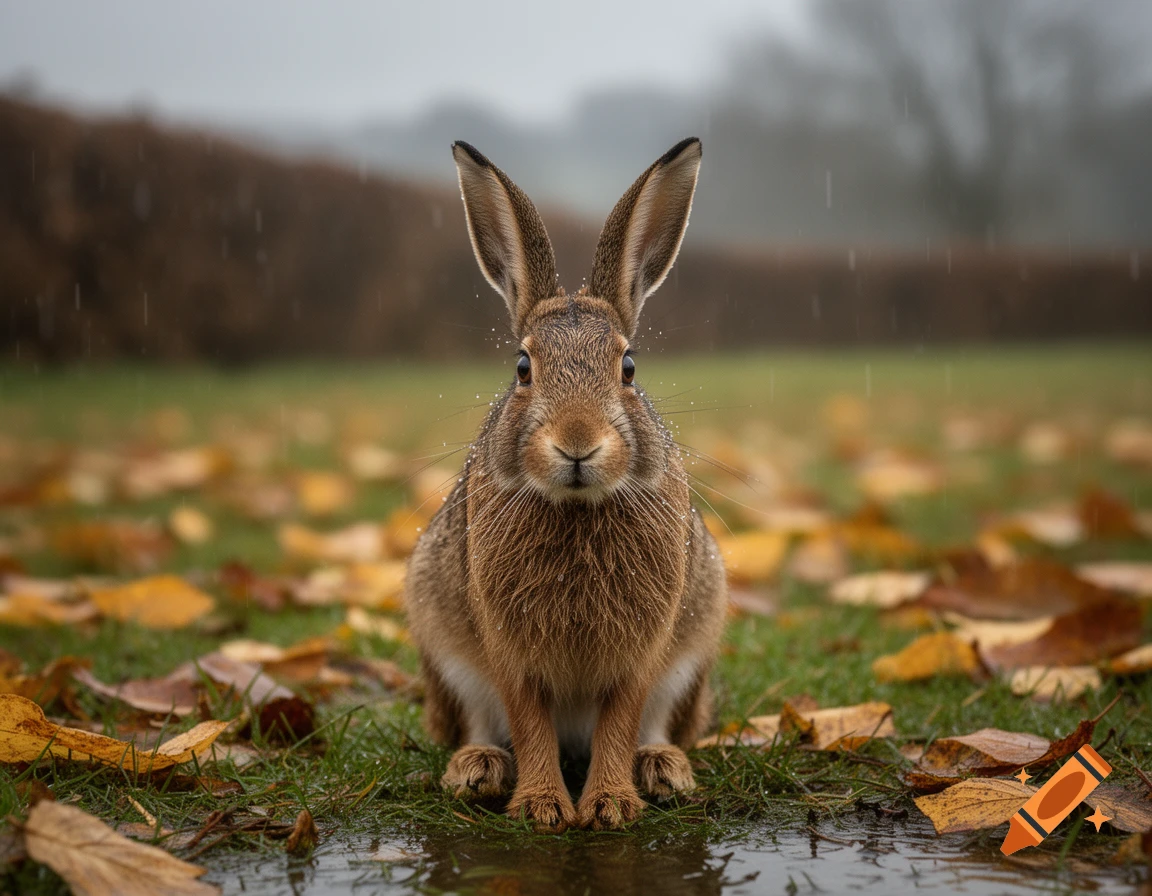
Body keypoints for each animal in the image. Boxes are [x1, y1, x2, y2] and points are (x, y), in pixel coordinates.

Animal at [405, 137, 728, 832]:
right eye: (523, 368)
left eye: (628, 367)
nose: (577, 442)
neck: (577, 507)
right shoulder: (506, 648)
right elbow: (529, 722)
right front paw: (542, 808)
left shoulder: (643, 652)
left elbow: (621, 719)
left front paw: (609, 806)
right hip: (448, 656)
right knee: (480, 722)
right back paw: (476, 768)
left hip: (689, 660)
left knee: (656, 725)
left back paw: (663, 769)